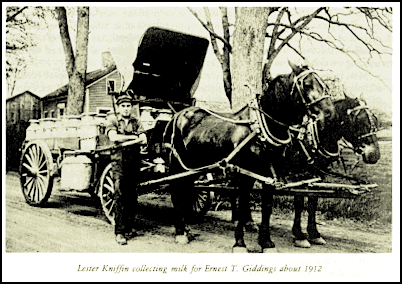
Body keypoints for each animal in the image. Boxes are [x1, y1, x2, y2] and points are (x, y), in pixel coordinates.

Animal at [163, 61, 336, 253]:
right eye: (306, 84)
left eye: (324, 84)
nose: (330, 113)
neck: (260, 129)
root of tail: (177, 115)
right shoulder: (244, 174)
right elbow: (243, 204)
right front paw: (239, 243)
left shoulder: (270, 176)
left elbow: (266, 207)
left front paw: (266, 242)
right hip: (178, 164)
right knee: (176, 190)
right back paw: (180, 232)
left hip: (194, 166)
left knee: (186, 189)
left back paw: (185, 228)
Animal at [280, 94, 380, 247]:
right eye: (360, 122)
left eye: (375, 120)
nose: (375, 155)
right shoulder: (300, 176)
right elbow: (299, 203)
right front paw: (299, 235)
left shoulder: (317, 176)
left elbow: (313, 202)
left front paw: (314, 233)